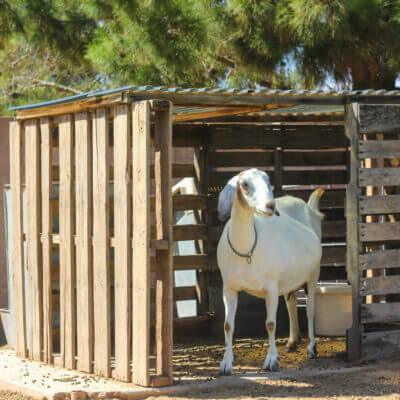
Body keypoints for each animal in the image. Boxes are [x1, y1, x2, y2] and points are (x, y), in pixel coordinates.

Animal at [217, 170, 324, 376]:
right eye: (244, 184)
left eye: (268, 181)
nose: (270, 206)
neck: (246, 250)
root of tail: (308, 207)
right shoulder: (228, 288)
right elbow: (227, 325)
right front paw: (225, 364)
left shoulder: (271, 288)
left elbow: (270, 324)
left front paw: (271, 361)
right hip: (290, 278)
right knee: (291, 302)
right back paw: (291, 342)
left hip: (313, 273)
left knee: (310, 309)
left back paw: (312, 348)